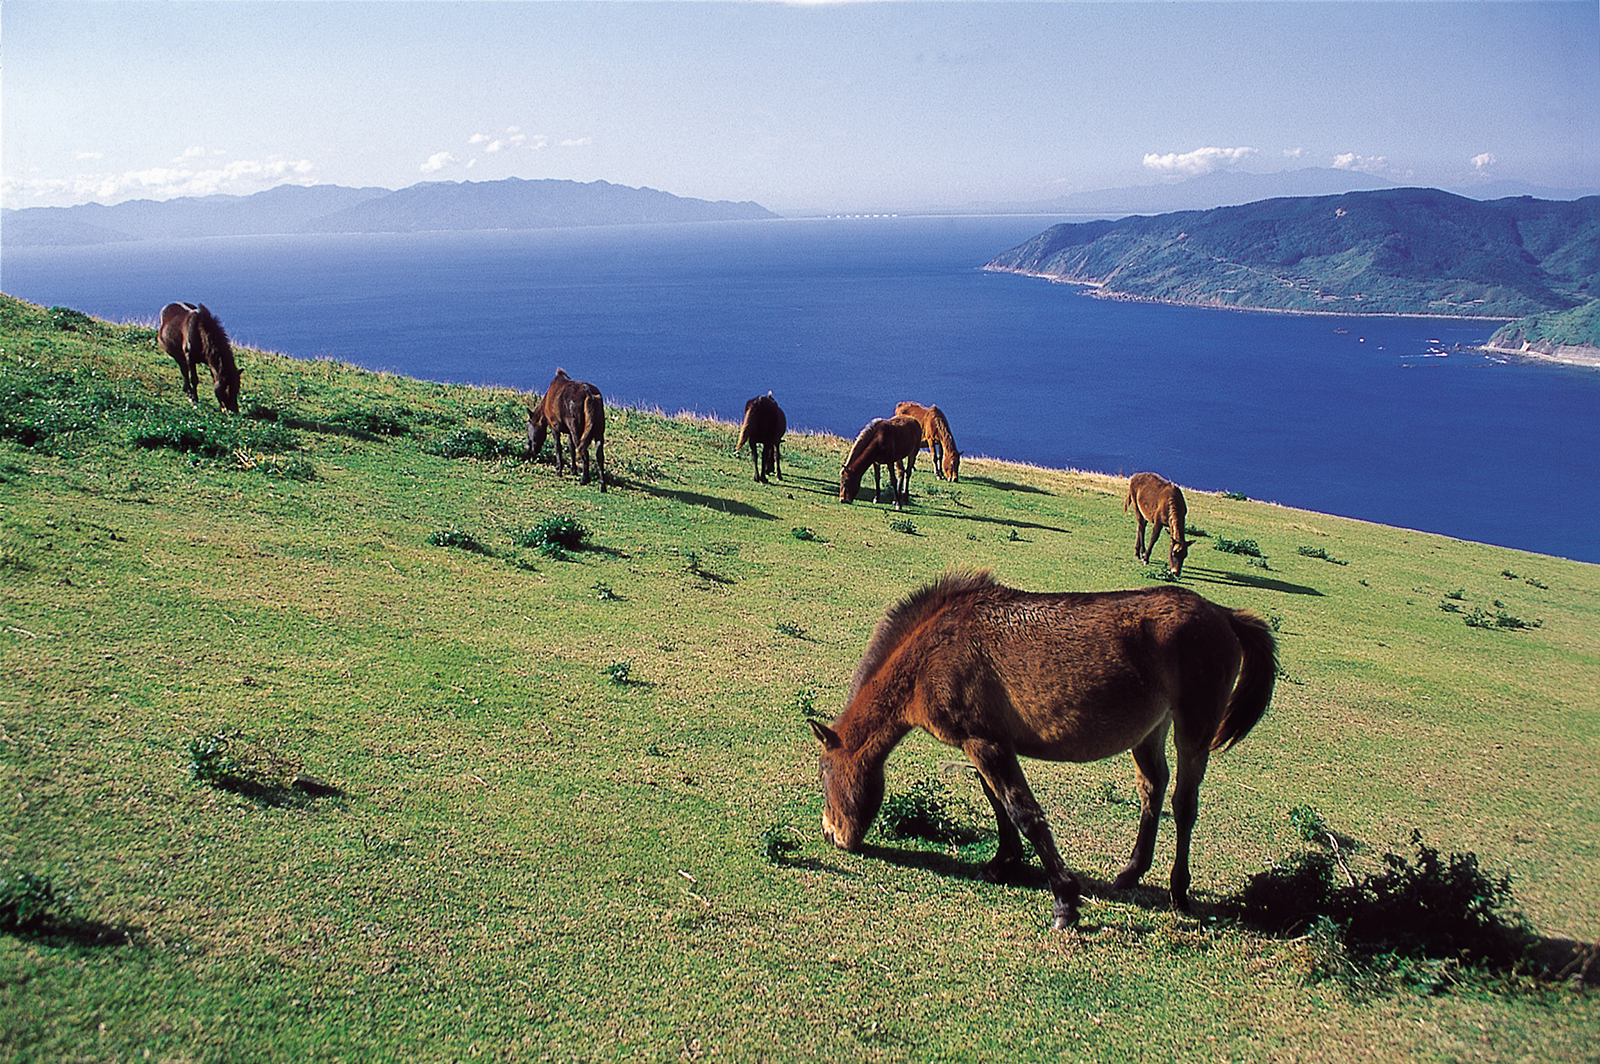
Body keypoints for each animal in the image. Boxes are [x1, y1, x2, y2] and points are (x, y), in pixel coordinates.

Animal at [812, 569, 1273, 928]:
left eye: (823, 774)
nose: (832, 834)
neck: (936, 650)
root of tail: (1223, 614)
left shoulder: (985, 742)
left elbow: (1024, 814)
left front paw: (1065, 901)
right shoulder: (985, 742)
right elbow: (998, 803)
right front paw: (1003, 863)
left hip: (1194, 729)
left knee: (1183, 803)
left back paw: (1179, 891)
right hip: (1151, 731)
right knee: (1152, 789)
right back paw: (1130, 874)